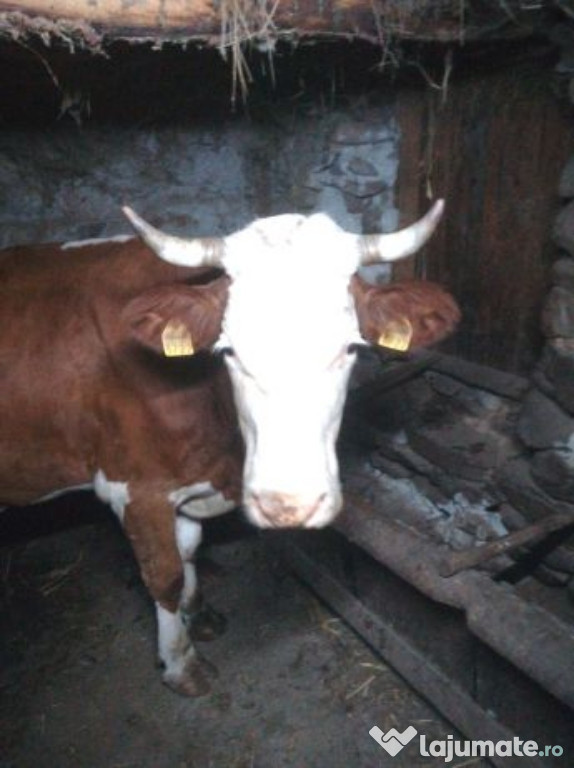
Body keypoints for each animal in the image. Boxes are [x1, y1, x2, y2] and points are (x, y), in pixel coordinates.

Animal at [0, 200, 459, 696]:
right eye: (230, 351)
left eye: (350, 348)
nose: (288, 506)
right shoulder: (135, 489)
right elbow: (164, 574)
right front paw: (181, 663)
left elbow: (189, 551)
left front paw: (197, 614)